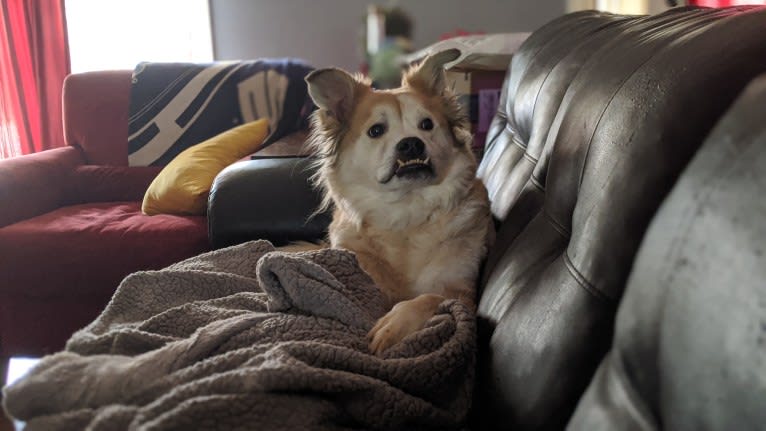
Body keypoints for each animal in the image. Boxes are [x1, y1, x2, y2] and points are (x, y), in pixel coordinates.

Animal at [304, 49, 496, 356]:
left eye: (427, 125)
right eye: (376, 130)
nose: (411, 144)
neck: (406, 213)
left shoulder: (463, 291)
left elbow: (430, 297)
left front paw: (395, 324)